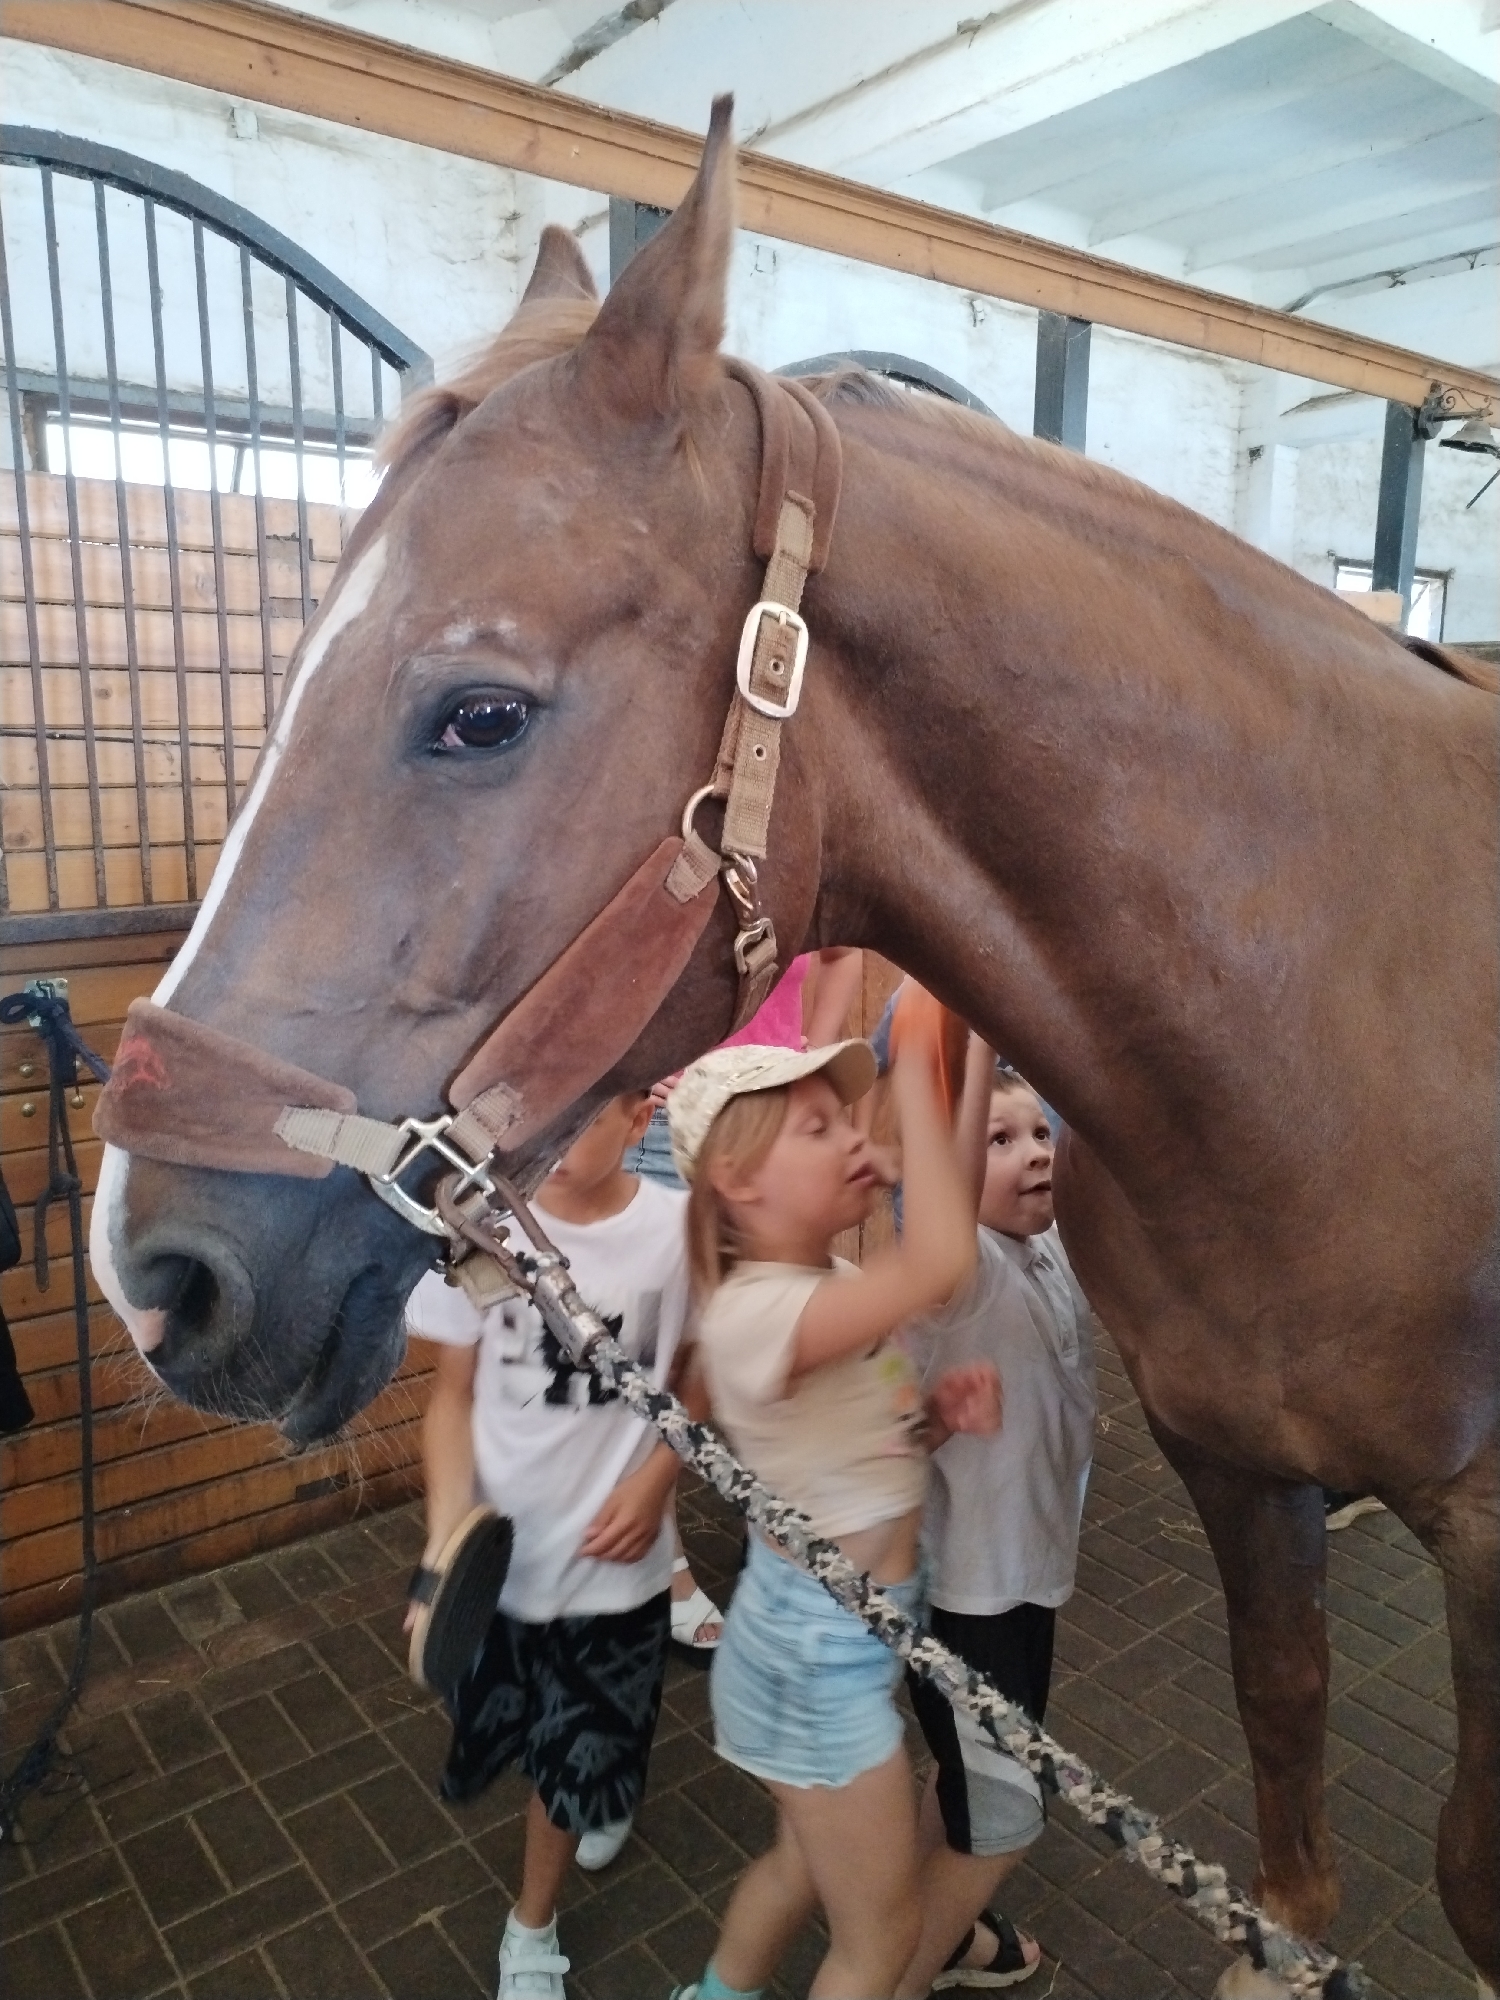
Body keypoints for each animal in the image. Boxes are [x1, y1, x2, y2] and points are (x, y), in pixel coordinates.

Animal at [89, 102, 1497, 1988]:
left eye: (481, 711)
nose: (154, 1273)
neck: (1345, 1002)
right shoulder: (1234, 1466)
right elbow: (1283, 1722)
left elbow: (1466, 1863)